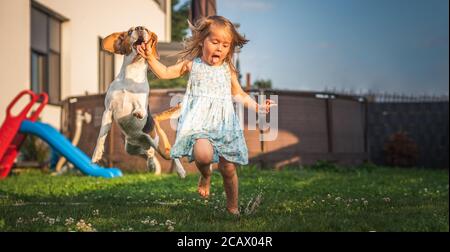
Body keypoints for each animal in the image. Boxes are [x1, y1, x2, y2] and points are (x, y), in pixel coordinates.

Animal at [92, 26, 185, 177]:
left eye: (146, 29)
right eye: (130, 31)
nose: (140, 28)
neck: (132, 72)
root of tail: (155, 120)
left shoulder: (141, 103)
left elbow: (139, 108)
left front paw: (138, 113)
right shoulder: (108, 111)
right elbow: (101, 136)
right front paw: (96, 154)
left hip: (160, 145)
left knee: (171, 155)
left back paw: (181, 171)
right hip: (131, 148)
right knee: (149, 152)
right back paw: (151, 164)